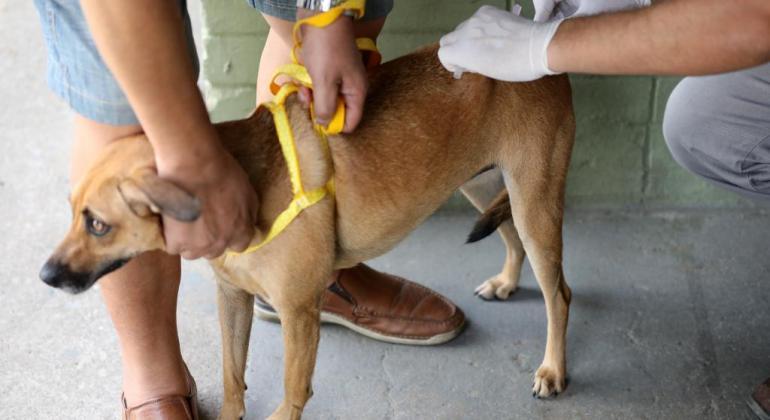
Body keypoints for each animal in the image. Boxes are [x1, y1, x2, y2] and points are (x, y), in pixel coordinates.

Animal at [40, 44, 568, 418]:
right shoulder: (233, 297)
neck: (246, 181)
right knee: (511, 239)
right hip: (484, 185)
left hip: (534, 203)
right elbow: (232, 375)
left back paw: (553, 369)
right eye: (72, 212)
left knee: (558, 293)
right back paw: (506, 282)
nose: (45, 275)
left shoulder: (297, 312)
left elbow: (293, 391)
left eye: (98, 224)